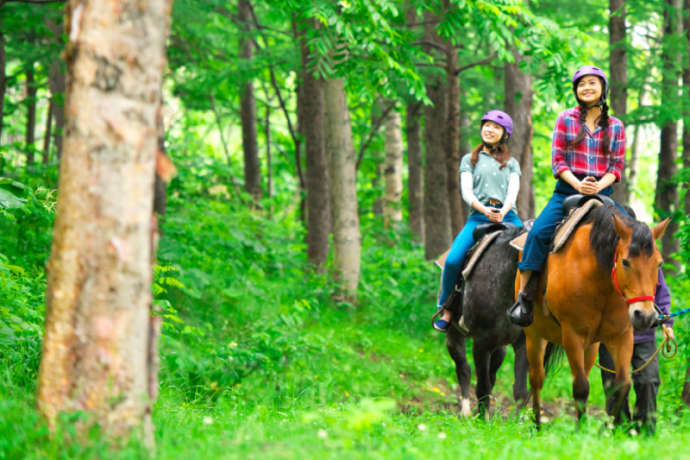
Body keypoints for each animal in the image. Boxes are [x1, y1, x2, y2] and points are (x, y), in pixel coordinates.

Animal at [440, 225, 528, 416]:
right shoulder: (481, 343)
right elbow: (482, 387)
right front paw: (482, 418)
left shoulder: (522, 343)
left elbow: (520, 391)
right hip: (454, 335)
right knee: (464, 369)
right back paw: (465, 411)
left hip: (500, 348)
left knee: (491, 374)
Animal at [520, 203, 668, 430]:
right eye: (625, 262)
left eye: (659, 264)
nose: (644, 315)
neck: (601, 280)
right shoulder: (572, 335)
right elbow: (581, 387)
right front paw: (580, 430)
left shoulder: (622, 336)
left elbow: (622, 384)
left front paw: (611, 427)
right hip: (534, 336)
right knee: (537, 379)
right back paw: (537, 424)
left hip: (591, 346)